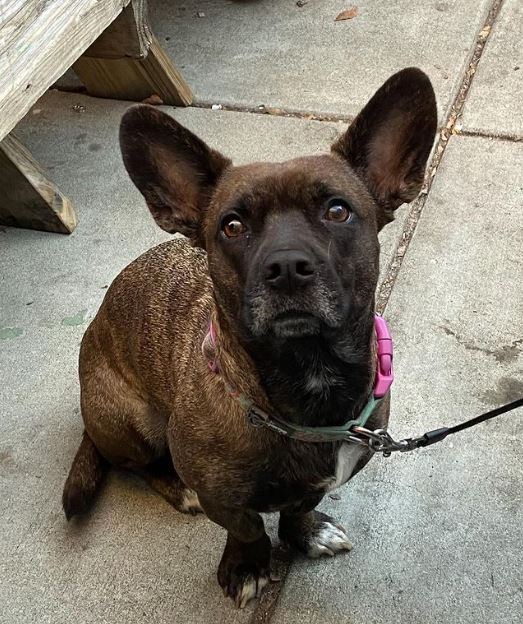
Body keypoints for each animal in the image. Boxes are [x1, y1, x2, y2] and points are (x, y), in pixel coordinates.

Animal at [62, 68, 438, 608]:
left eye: (338, 211)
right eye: (232, 226)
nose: (286, 266)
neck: (308, 378)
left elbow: (298, 507)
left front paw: (305, 533)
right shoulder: (224, 498)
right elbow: (246, 527)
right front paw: (247, 565)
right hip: (136, 423)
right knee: (138, 465)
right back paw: (177, 489)